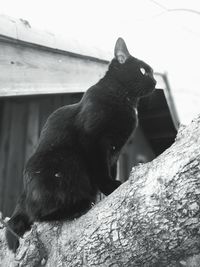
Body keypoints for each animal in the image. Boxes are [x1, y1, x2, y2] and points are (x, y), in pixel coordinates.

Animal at [5, 38, 156, 253]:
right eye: (144, 71)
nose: (155, 81)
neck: (125, 99)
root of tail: (22, 198)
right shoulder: (94, 141)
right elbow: (100, 170)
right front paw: (111, 187)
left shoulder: (115, 151)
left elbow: (109, 169)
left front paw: (107, 192)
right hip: (66, 160)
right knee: (39, 215)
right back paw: (80, 205)